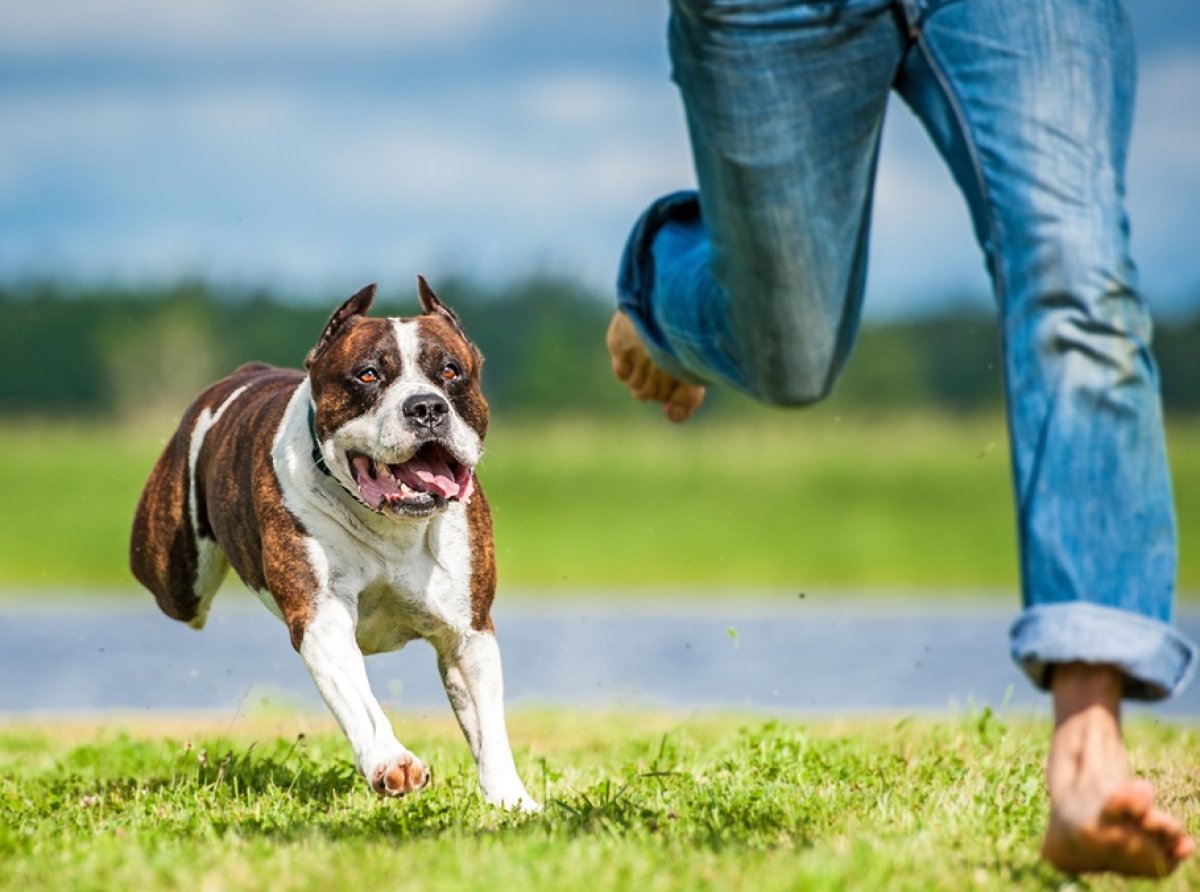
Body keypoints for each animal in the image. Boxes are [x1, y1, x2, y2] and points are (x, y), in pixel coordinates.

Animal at [131, 278, 540, 811]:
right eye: (367, 375)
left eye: (451, 371)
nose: (427, 406)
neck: (392, 526)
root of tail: (246, 372)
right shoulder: (322, 618)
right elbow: (361, 705)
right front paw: (392, 761)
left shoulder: (468, 633)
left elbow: (489, 727)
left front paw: (511, 800)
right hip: (177, 580)